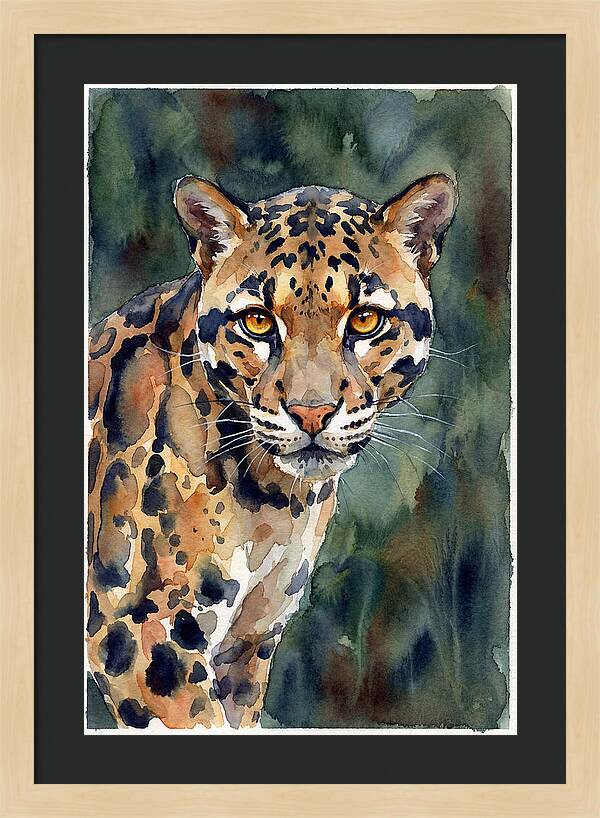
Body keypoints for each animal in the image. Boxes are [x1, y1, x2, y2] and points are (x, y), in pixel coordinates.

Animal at [87, 173, 457, 730]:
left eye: (366, 320)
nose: (312, 412)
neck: (273, 501)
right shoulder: (139, 633)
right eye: (258, 322)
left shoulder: (246, 645)